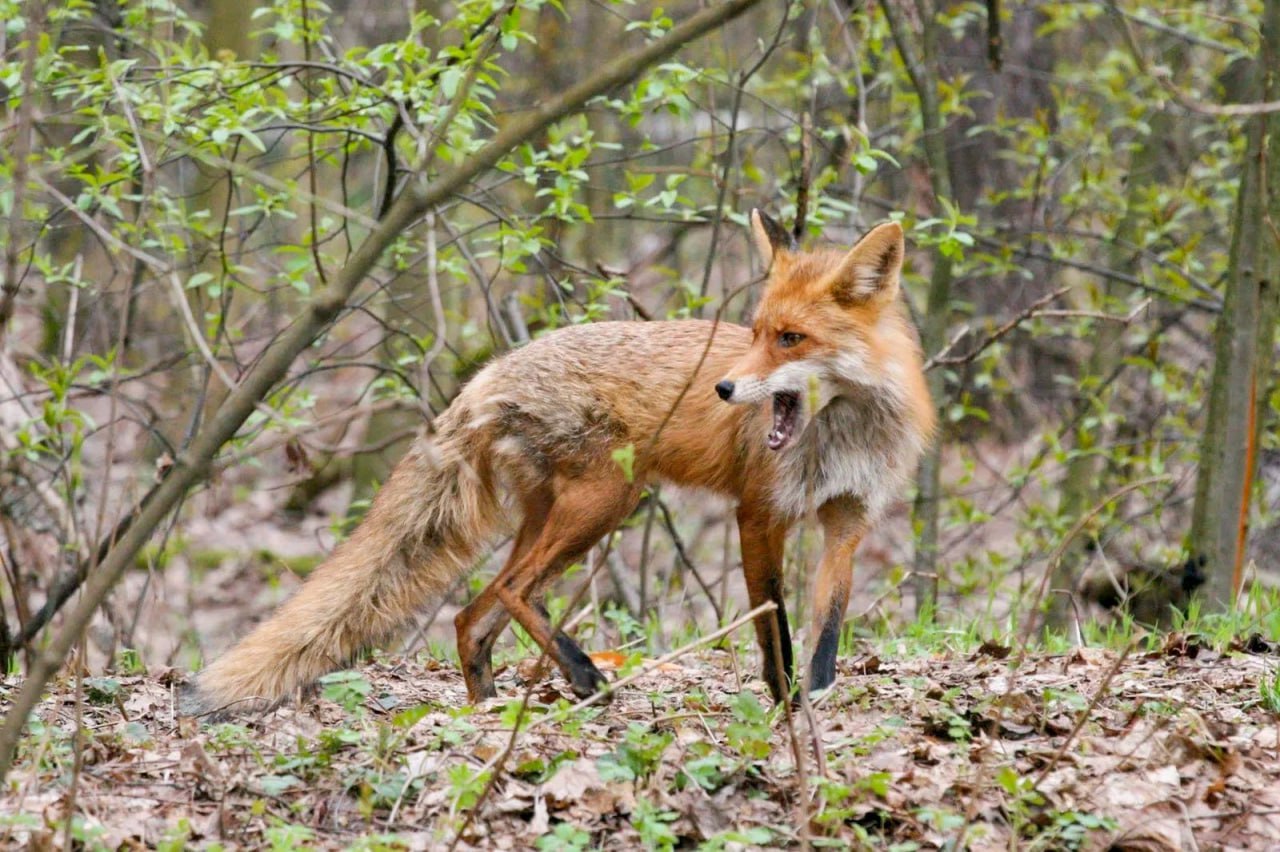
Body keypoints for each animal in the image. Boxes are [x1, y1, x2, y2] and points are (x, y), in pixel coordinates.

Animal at [183, 212, 931, 711]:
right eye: (753, 334)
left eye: (790, 338)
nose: (722, 388)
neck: (843, 433)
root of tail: (487, 373)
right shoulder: (760, 513)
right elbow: (773, 628)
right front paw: (785, 708)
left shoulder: (848, 518)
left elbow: (828, 623)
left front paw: (822, 698)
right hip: (608, 501)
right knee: (515, 591)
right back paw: (581, 673)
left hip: (553, 515)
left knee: (472, 614)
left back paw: (486, 706)